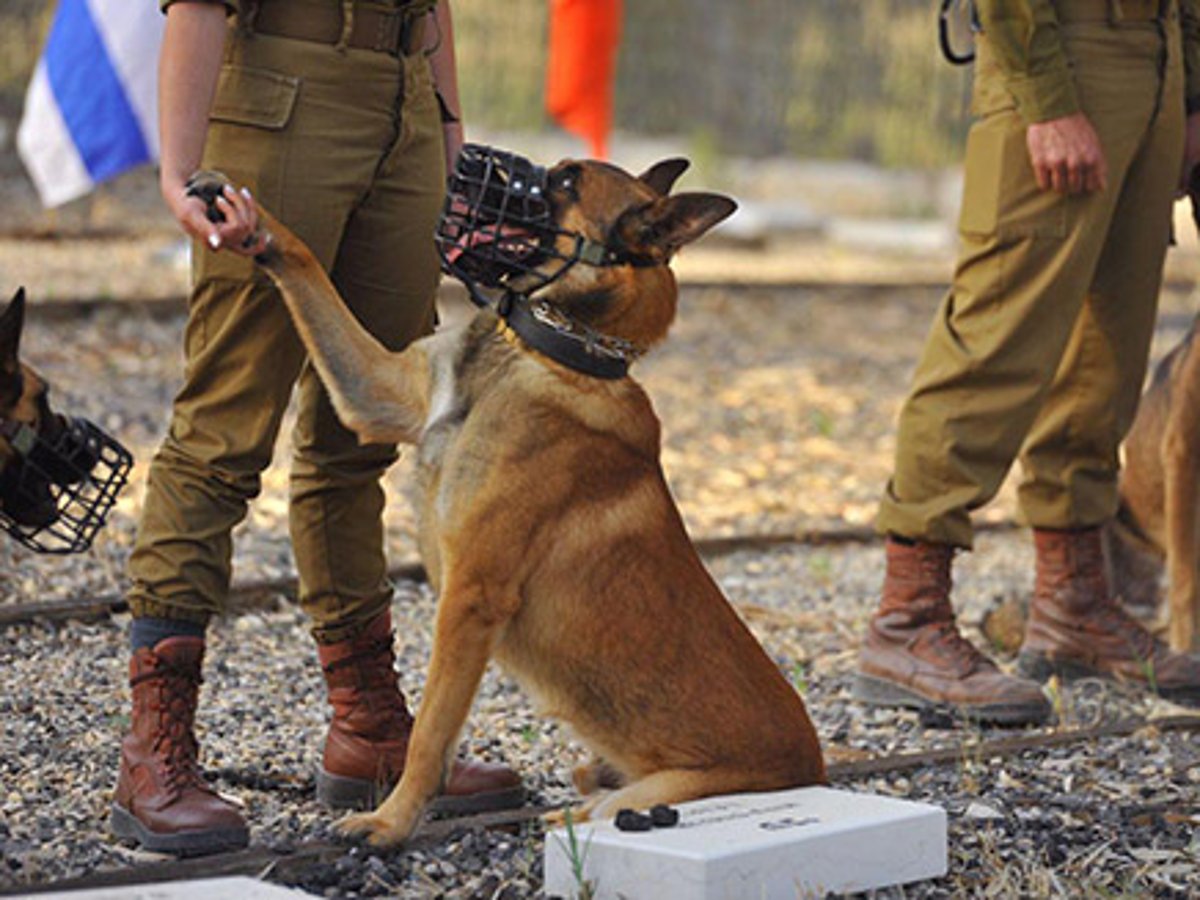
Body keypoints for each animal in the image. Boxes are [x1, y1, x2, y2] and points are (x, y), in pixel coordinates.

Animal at [189, 146, 825, 844]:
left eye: (567, 180)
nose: (465, 155)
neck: (556, 354)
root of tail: (817, 764)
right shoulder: (377, 388)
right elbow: (303, 259)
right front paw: (243, 213)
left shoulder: (471, 597)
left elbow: (431, 731)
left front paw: (391, 822)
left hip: (664, 787)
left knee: (608, 804)